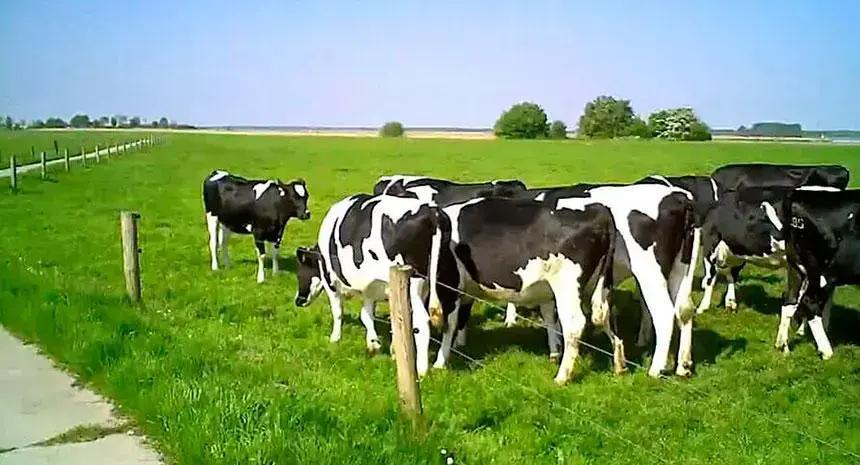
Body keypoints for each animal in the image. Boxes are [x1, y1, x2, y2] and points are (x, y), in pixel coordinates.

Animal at [293, 194, 456, 377]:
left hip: (414, 283)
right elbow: (369, 315)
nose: (298, 300)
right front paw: (382, 346)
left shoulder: (331, 283)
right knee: (450, 321)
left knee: (422, 321)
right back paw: (440, 363)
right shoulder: (371, 289)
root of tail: (433, 212)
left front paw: (335, 338)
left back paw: (422, 369)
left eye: (300, 272)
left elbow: (338, 312)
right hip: (446, 282)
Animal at [775, 188, 860, 360]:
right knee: (809, 302)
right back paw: (826, 352)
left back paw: (783, 346)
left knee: (790, 300)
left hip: (797, 268)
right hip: (822, 273)